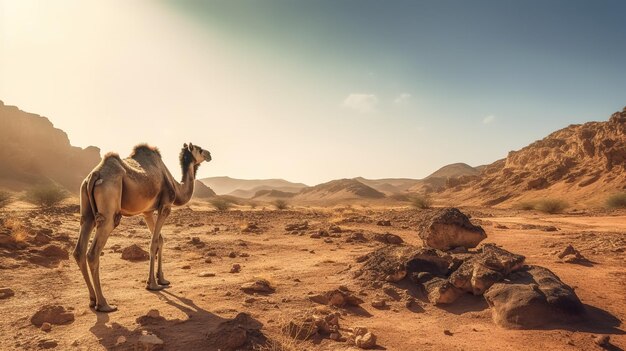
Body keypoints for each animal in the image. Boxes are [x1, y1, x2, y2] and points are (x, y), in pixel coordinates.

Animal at [72, 143, 211, 314]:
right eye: (199, 149)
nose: (209, 154)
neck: (176, 186)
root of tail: (94, 175)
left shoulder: (147, 212)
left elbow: (160, 240)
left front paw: (162, 279)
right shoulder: (165, 206)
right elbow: (153, 242)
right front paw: (152, 284)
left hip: (86, 210)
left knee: (79, 249)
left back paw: (92, 300)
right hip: (109, 210)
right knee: (93, 253)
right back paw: (104, 304)